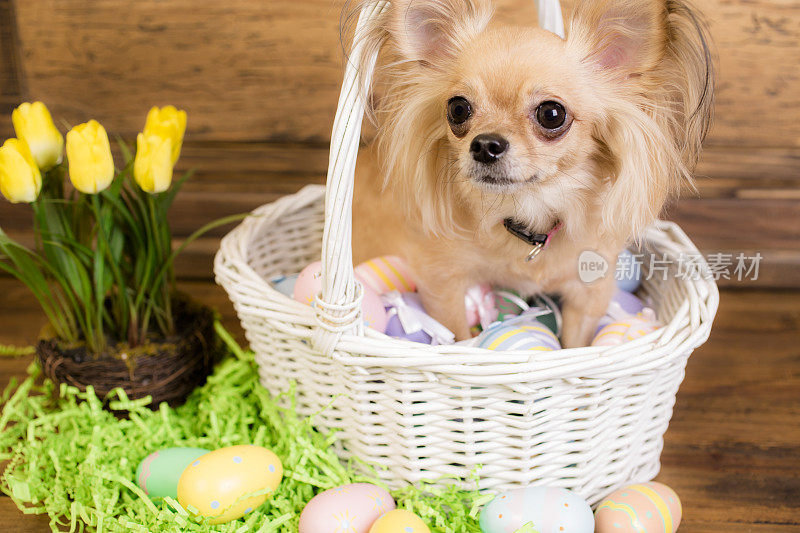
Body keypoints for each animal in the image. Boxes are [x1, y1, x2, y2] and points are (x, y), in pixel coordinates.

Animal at [350, 0, 712, 344]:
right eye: (458, 109)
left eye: (551, 114)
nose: (485, 144)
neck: (527, 211)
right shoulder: (442, 283)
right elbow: (457, 336)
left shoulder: (589, 292)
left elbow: (577, 345)